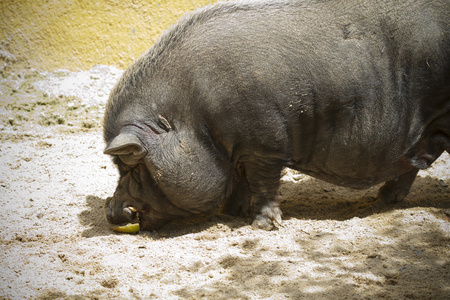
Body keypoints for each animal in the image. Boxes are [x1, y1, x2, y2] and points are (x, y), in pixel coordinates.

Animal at [103, 0, 450, 231]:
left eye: (131, 163)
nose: (111, 211)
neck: (194, 114)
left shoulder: (265, 143)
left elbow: (263, 182)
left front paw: (262, 226)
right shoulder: (240, 149)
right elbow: (241, 181)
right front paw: (232, 213)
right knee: (413, 163)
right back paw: (385, 200)